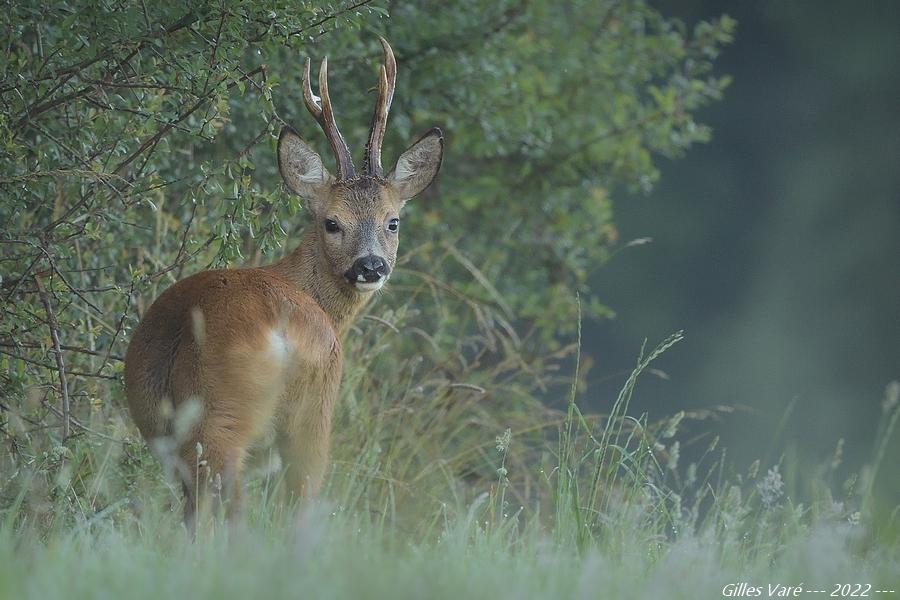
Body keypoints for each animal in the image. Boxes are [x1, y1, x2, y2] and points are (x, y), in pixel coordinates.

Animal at [125, 37, 444, 528]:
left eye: (392, 222)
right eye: (332, 222)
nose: (371, 266)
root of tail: (283, 326)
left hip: (219, 420)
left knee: (225, 508)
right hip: (301, 413)